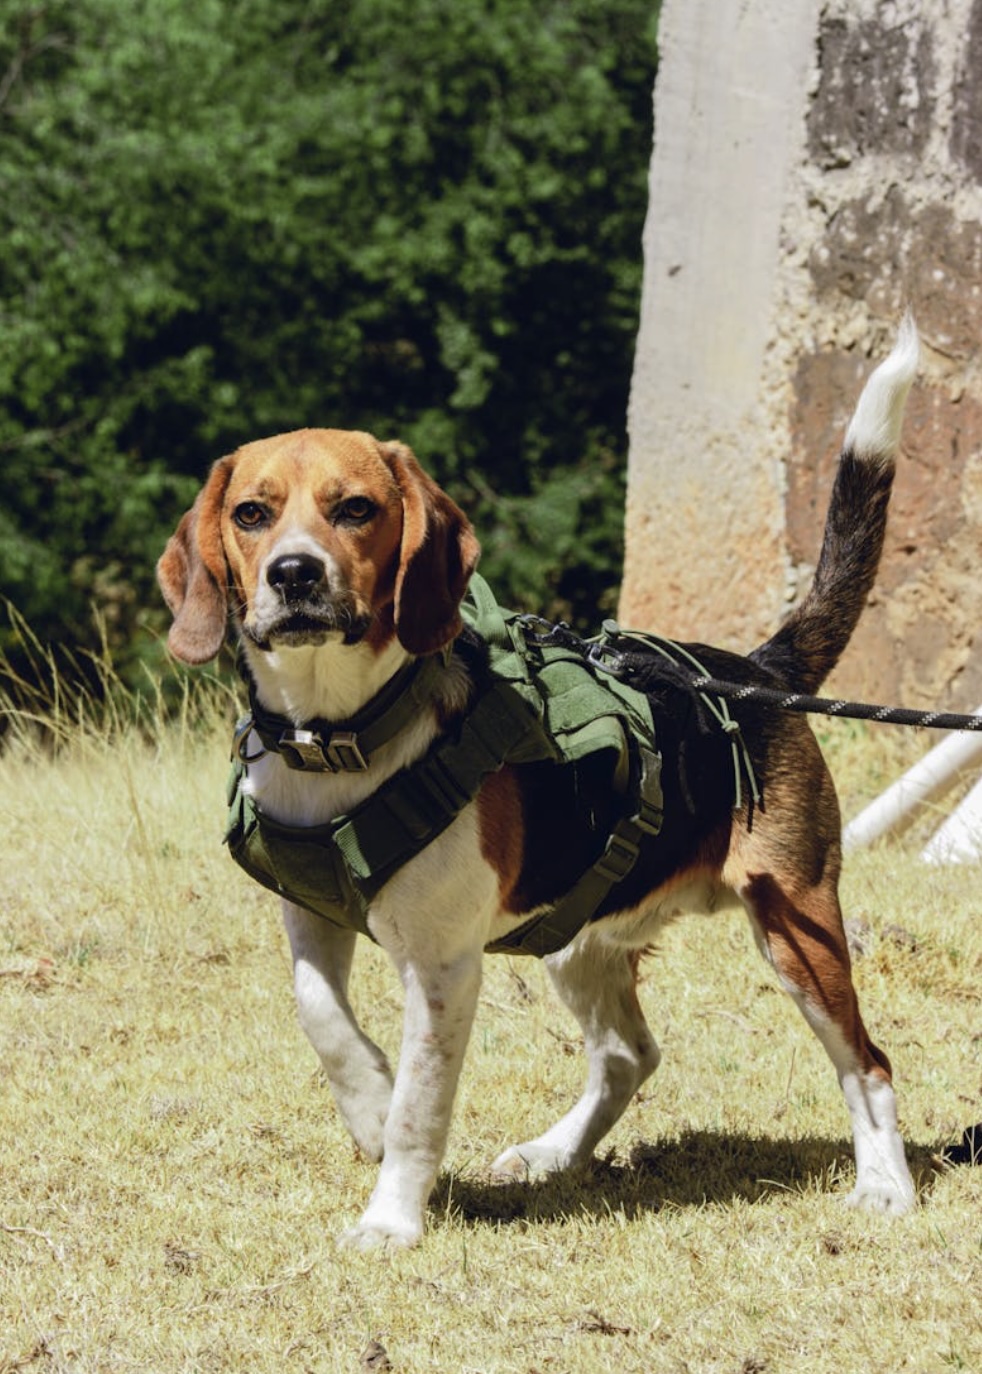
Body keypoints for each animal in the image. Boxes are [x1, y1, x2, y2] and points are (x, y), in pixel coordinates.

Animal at [157, 320, 919, 1248]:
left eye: (355, 509)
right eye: (251, 514)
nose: (295, 574)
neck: (339, 734)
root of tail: (755, 669)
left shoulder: (443, 966)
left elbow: (422, 1105)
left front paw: (391, 1219)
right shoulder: (311, 919)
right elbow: (322, 1017)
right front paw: (368, 1104)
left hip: (796, 924)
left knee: (867, 1062)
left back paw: (886, 1186)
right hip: (579, 936)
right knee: (629, 1056)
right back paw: (555, 1153)